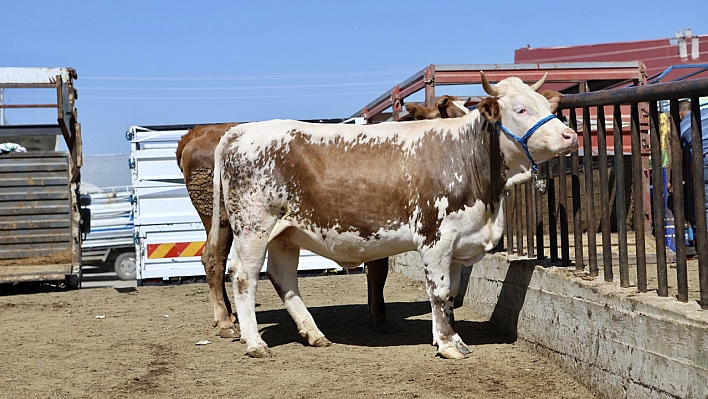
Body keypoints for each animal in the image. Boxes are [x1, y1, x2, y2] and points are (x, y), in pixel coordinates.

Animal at [209, 72, 576, 360]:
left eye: (547, 107)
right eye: (521, 109)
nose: (570, 135)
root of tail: (240, 132)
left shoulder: (460, 243)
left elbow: (452, 294)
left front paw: (455, 338)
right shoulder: (434, 238)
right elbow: (439, 292)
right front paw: (447, 345)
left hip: (285, 232)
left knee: (283, 277)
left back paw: (314, 335)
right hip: (253, 226)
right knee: (243, 275)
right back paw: (254, 343)